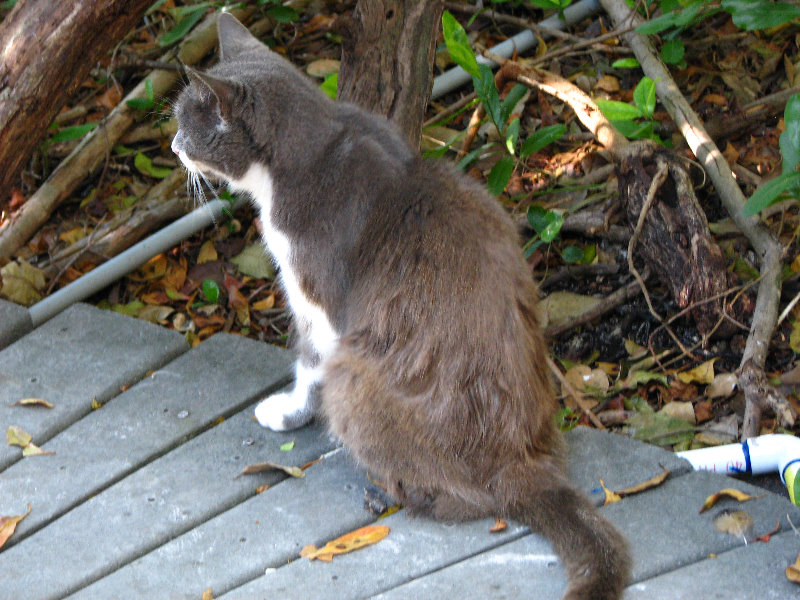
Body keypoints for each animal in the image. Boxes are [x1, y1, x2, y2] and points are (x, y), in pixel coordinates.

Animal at [172, 11, 628, 596]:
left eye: (188, 124)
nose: (173, 145)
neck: (306, 156)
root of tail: (521, 460)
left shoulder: (321, 300)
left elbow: (308, 363)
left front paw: (288, 412)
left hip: (357, 374)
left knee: (472, 498)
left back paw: (394, 492)